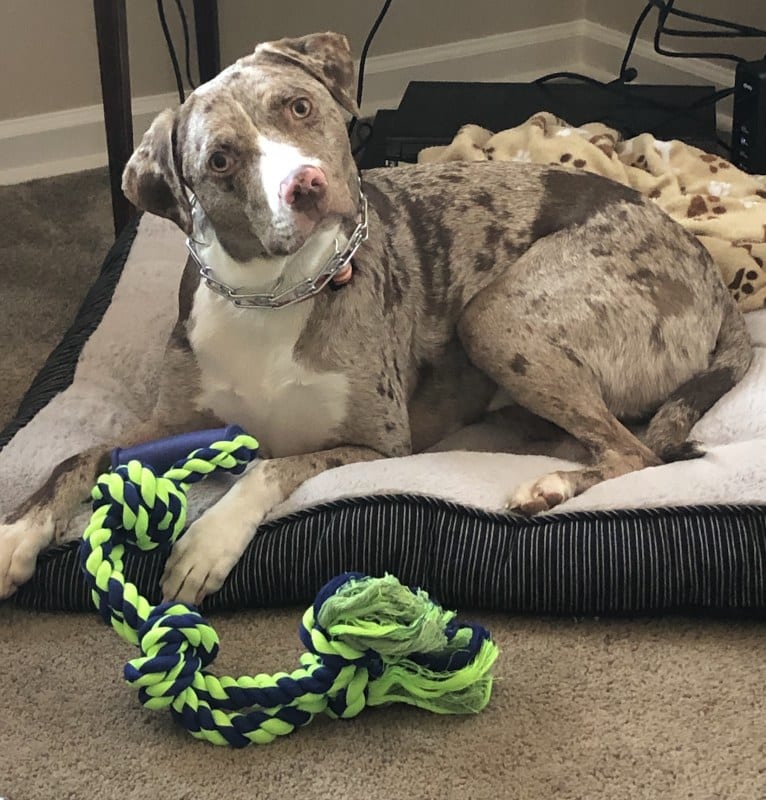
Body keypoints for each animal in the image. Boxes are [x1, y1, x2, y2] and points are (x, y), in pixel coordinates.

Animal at [0, 31, 752, 608]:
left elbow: (270, 467)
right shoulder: (167, 424)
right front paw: (16, 535)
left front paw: (209, 541)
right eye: (220, 158)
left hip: (496, 317)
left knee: (634, 452)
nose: (305, 186)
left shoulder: (378, 446)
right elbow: (77, 454)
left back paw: (551, 484)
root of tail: (712, 277)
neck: (277, 293)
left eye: (299, 106)